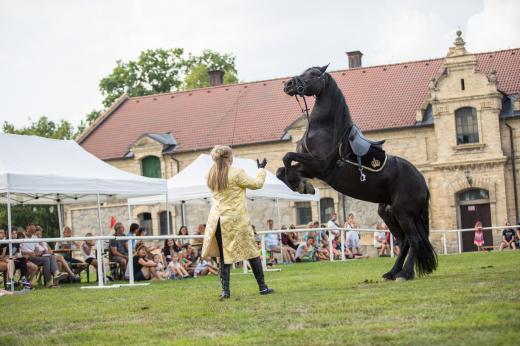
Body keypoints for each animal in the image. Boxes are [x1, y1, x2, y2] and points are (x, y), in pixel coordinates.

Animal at [278, 65, 436, 282]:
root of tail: (422, 183)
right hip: (388, 213)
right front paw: (302, 185)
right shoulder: (309, 167)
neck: (326, 129)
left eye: (313, 74)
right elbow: (281, 169)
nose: (288, 84)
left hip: (404, 213)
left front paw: (300, 184)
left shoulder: (320, 164)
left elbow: (287, 156)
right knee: (403, 241)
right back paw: (392, 272)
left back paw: (405, 274)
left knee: (414, 240)